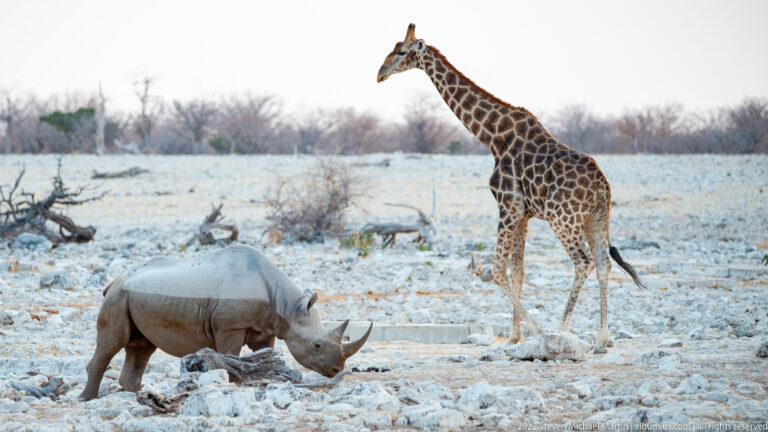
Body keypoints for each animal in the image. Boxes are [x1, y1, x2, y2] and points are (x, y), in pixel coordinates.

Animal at [79, 244, 372, 401]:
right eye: (317, 345)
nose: (336, 370)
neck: (287, 306)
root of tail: (114, 281)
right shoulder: (230, 327)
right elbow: (231, 356)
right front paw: (230, 385)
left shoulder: (266, 328)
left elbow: (265, 355)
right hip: (118, 298)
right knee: (111, 343)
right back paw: (87, 398)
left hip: (133, 297)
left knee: (141, 348)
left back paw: (133, 396)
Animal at [377, 24, 645, 353]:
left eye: (402, 51)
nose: (380, 74)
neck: (492, 136)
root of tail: (602, 186)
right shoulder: (524, 212)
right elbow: (518, 269)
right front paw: (515, 336)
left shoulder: (508, 205)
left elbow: (496, 269)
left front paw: (533, 331)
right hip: (595, 219)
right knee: (604, 264)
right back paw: (602, 339)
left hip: (563, 220)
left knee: (583, 262)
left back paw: (560, 331)